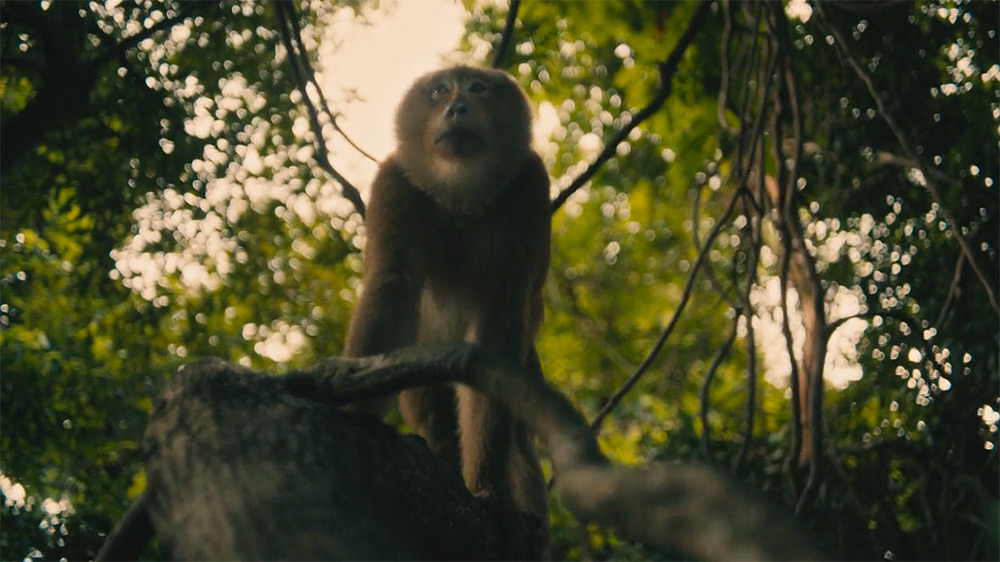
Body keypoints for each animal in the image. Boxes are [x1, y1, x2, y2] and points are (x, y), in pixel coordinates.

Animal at [343, 65, 551, 558]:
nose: (456, 107)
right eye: (439, 91)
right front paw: (353, 410)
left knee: (518, 435)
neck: (460, 194)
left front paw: (489, 491)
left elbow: (499, 322)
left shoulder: (530, 188)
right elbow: (392, 288)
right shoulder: (396, 184)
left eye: (477, 88)